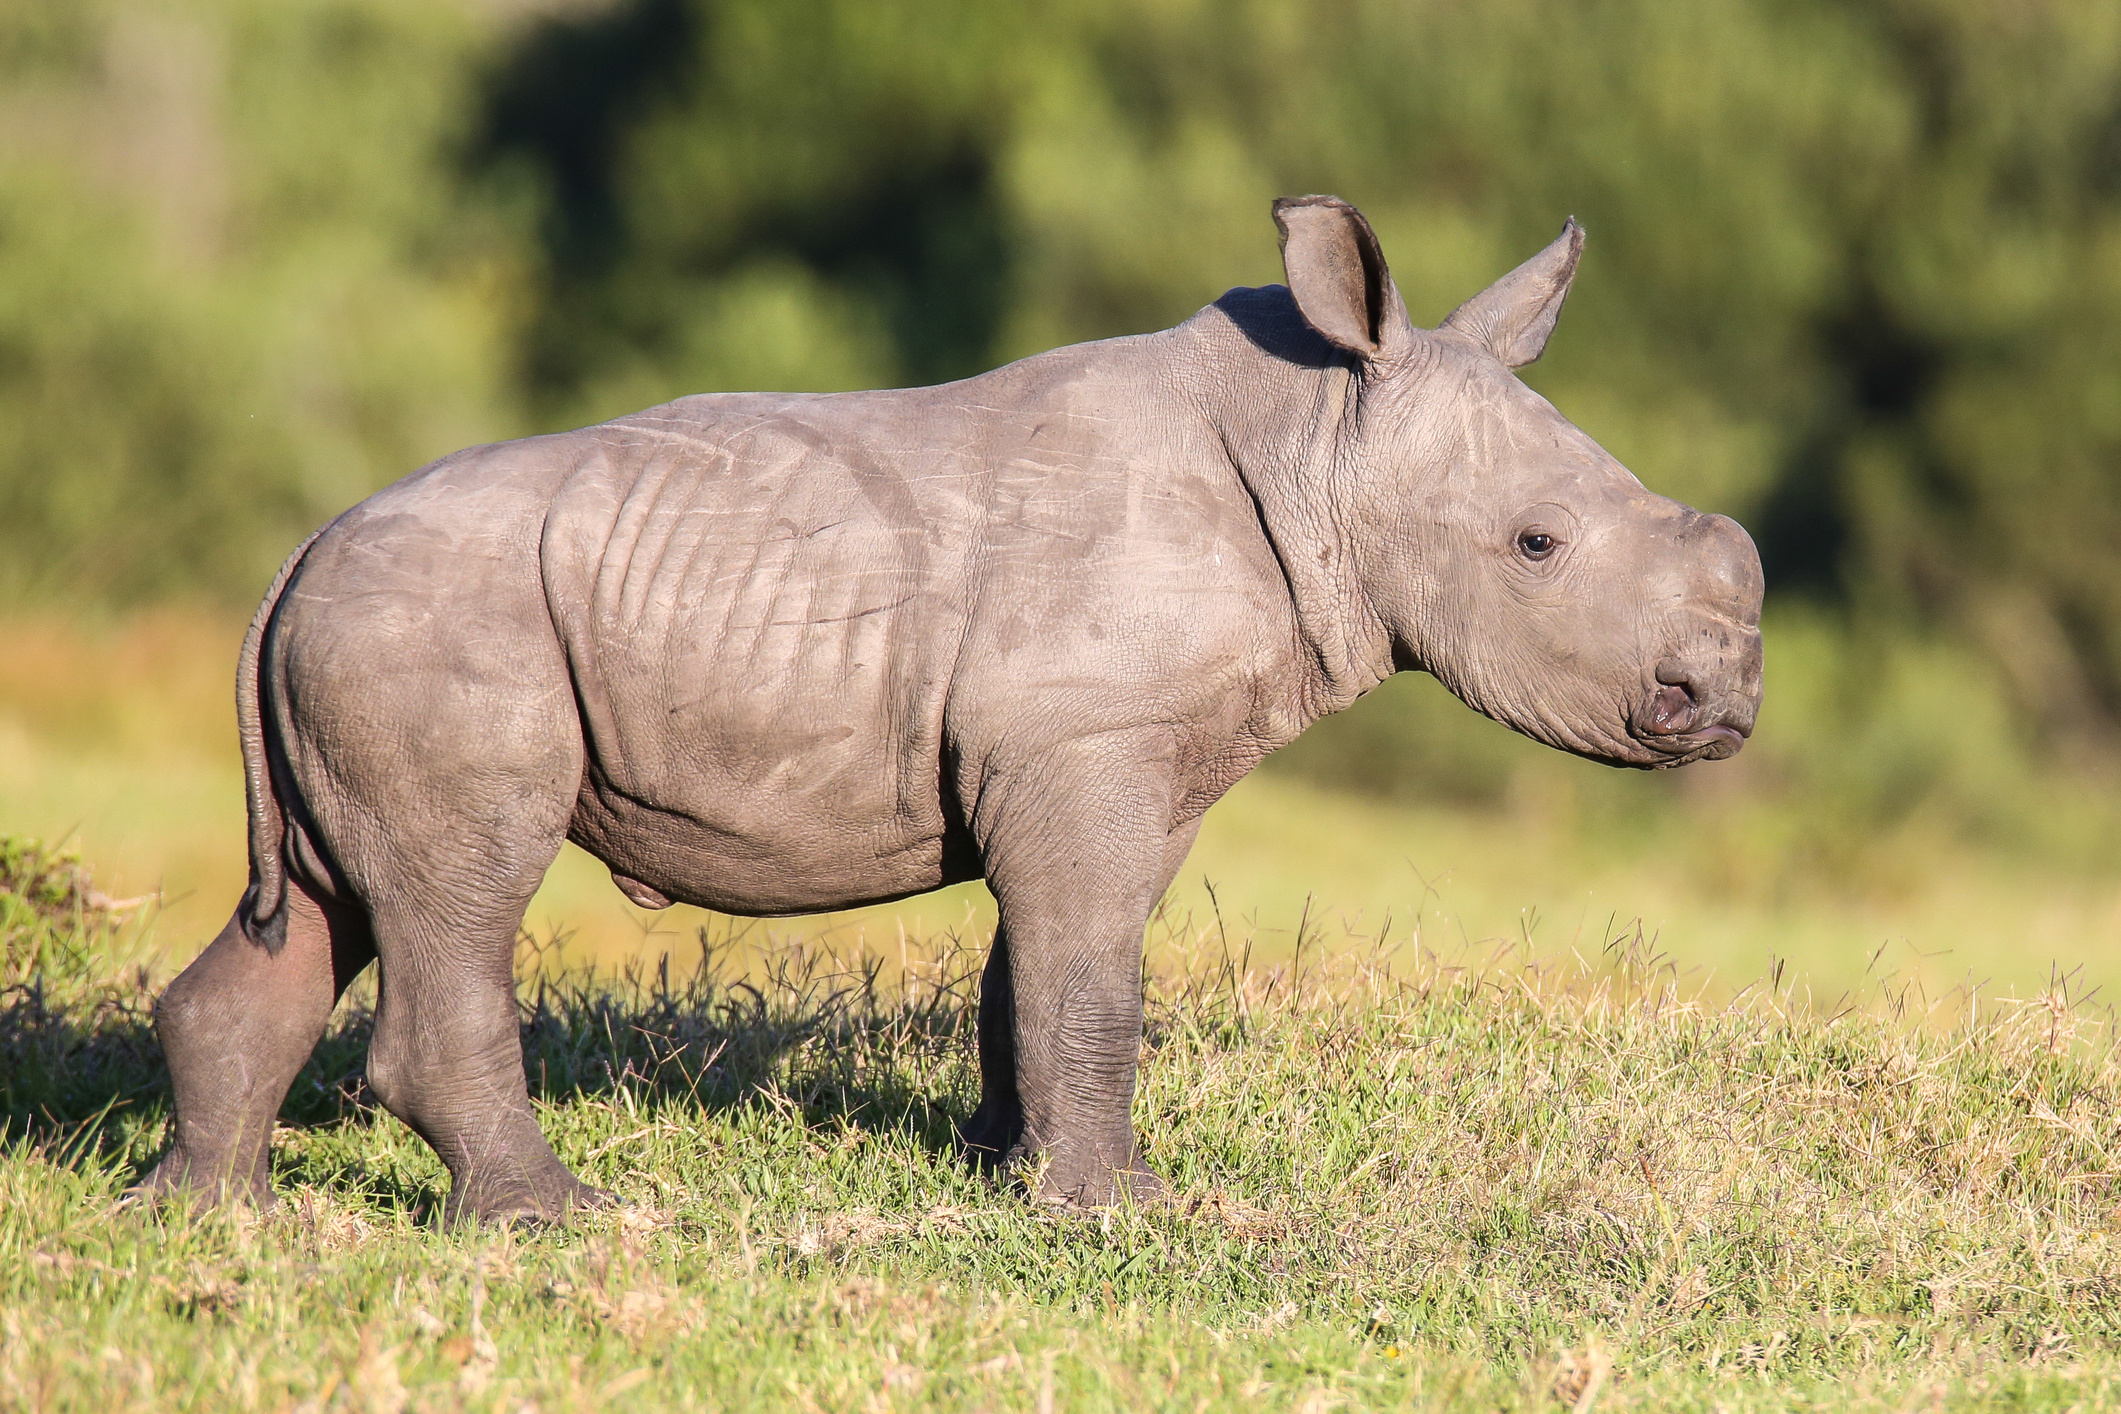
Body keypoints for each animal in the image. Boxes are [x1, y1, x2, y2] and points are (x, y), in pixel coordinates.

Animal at [141, 193, 1764, 1221]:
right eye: (1539, 546)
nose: (1727, 702)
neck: (1318, 439)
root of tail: (301, 551)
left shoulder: (1091, 750)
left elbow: (1033, 968)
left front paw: (999, 1167)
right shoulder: (1085, 739)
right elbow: (1090, 972)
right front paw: (1121, 1209)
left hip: (370, 630)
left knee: (339, 900)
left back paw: (213, 1220)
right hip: (436, 629)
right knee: (461, 884)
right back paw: (561, 1221)